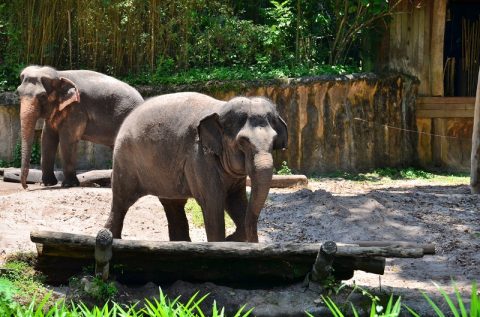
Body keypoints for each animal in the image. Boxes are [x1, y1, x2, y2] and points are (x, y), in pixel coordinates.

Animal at [103, 91, 286, 242]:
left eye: (274, 140)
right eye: (243, 142)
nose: (231, 237)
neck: (220, 108)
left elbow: (236, 201)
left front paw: (232, 240)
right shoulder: (200, 159)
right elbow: (213, 205)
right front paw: (222, 242)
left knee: (173, 203)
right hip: (125, 161)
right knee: (121, 201)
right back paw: (111, 237)